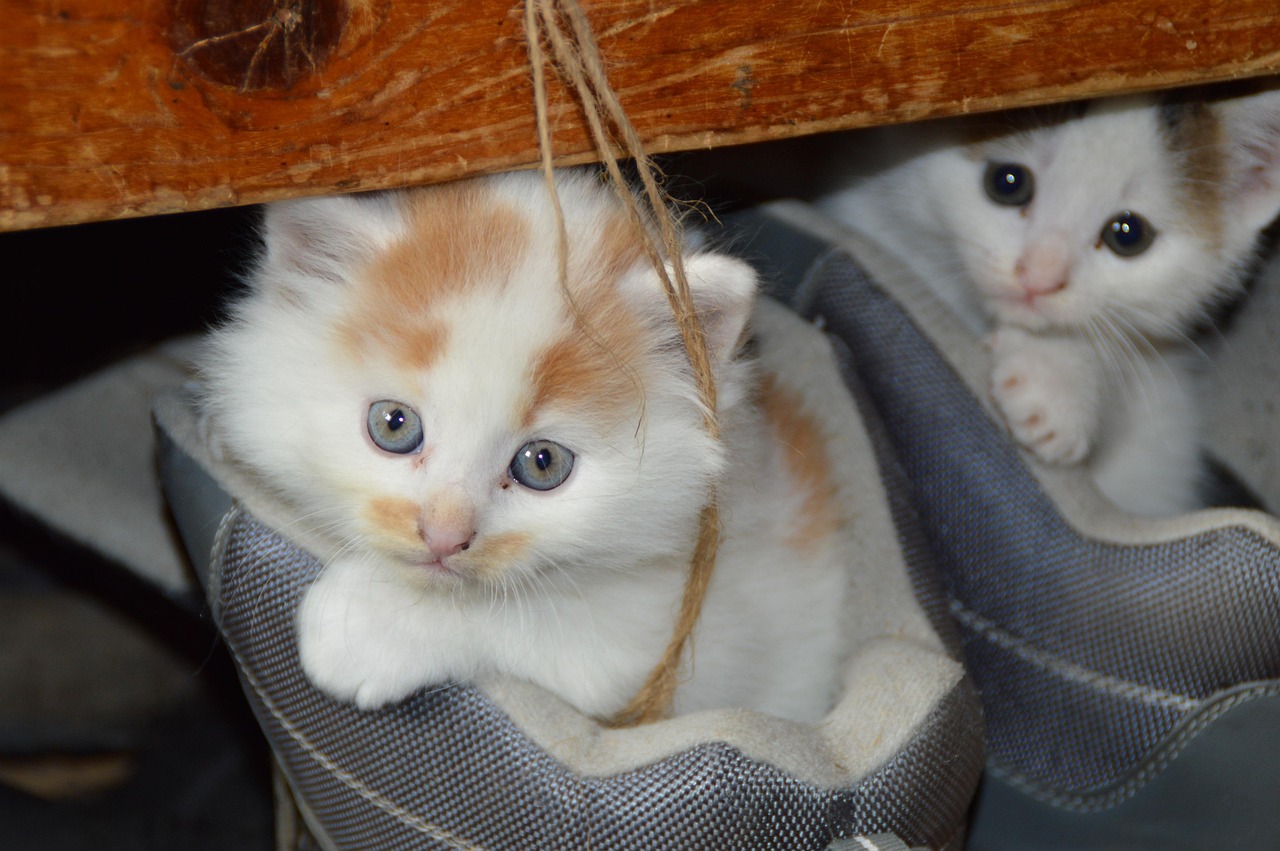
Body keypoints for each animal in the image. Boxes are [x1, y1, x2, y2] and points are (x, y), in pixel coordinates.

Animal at [202, 168, 860, 721]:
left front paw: (367, 628)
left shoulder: (679, 636)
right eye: (393, 426)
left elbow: (539, 617)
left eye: (542, 464)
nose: (444, 536)